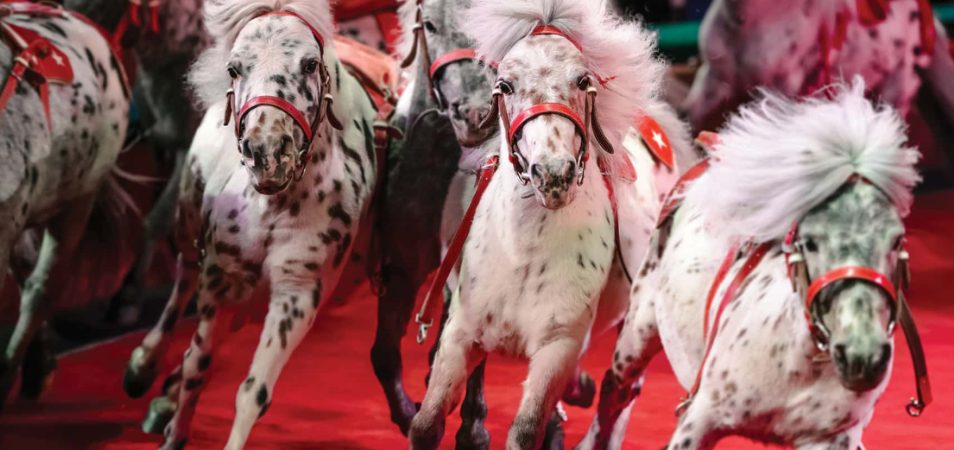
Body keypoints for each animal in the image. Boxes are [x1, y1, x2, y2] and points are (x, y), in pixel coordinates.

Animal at [115, 1, 376, 448]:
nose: (266, 152)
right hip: (189, 221)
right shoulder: (222, 277)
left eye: (309, 64)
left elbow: (253, 390)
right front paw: (173, 427)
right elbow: (197, 364)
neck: (273, 205)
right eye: (235, 68)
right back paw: (143, 366)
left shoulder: (298, 292)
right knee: (182, 280)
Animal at [408, 0, 692, 446]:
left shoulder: (557, 346)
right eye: (505, 85)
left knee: (621, 393)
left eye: (582, 80)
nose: (554, 174)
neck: (523, 253)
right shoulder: (460, 335)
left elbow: (526, 428)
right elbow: (426, 423)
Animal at [580, 81, 924, 450]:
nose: (863, 357)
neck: (798, 362)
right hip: (638, 329)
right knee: (617, 391)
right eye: (810, 242)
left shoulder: (831, 438)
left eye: (897, 241)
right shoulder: (700, 418)